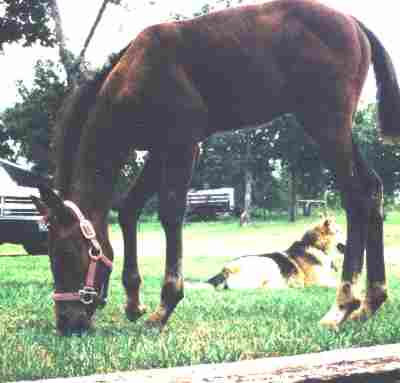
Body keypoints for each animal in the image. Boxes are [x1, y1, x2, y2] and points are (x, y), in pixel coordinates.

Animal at [206, 218, 344, 290]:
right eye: (339, 232)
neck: (316, 246)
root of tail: (226, 269)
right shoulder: (317, 282)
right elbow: (339, 285)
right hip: (268, 263)